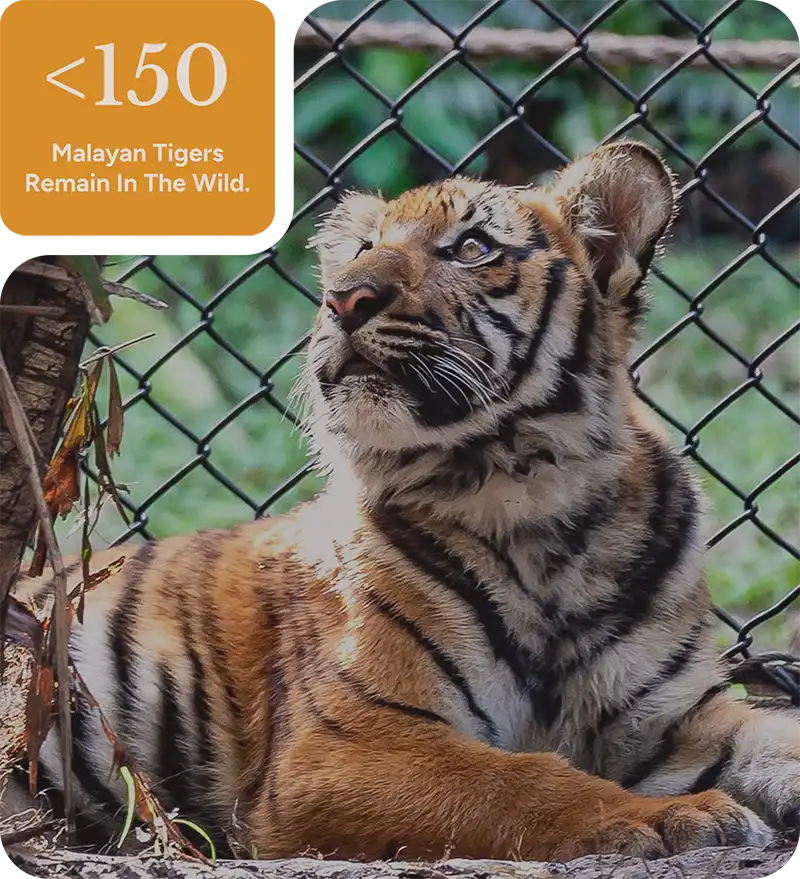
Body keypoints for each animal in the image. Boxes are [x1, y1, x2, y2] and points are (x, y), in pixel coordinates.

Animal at [4, 140, 799, 864]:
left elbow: (777, 737)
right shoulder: (344, 741)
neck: (540, 506)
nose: (343, 298)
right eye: (363, 249)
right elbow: (519, 780)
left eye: (473, 248)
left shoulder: (674, 717)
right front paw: (671, 816)